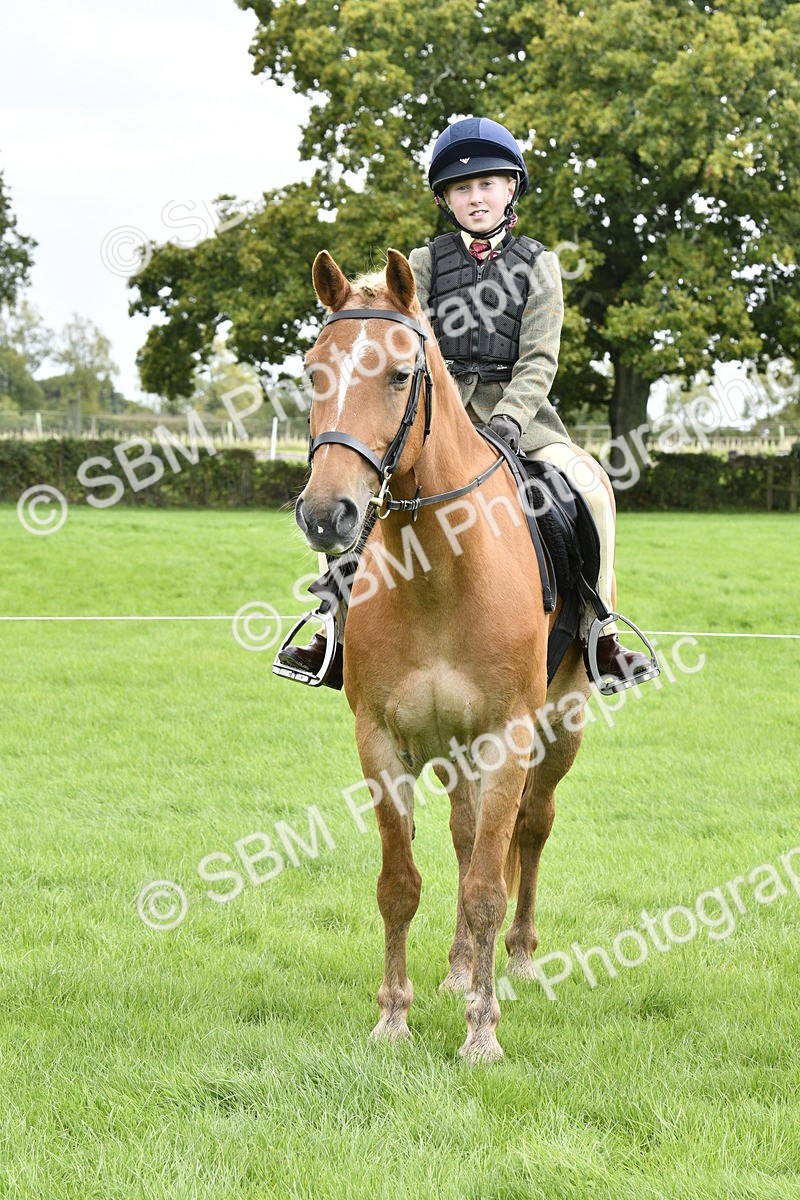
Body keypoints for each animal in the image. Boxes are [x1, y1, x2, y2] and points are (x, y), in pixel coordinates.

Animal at [294, 247, 610, 1063]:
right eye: (313, 371)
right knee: (468, 837)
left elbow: (488, 886)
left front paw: (482, 1034)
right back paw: (461, 968)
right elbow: (401, 882)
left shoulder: (508, 736)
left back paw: (519, 960)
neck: (437, 566)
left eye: (400, 375)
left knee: (529, 830)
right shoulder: (383, 739)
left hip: (559, 729)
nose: (326, 514)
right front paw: (394, 1017)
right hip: (450, 747)